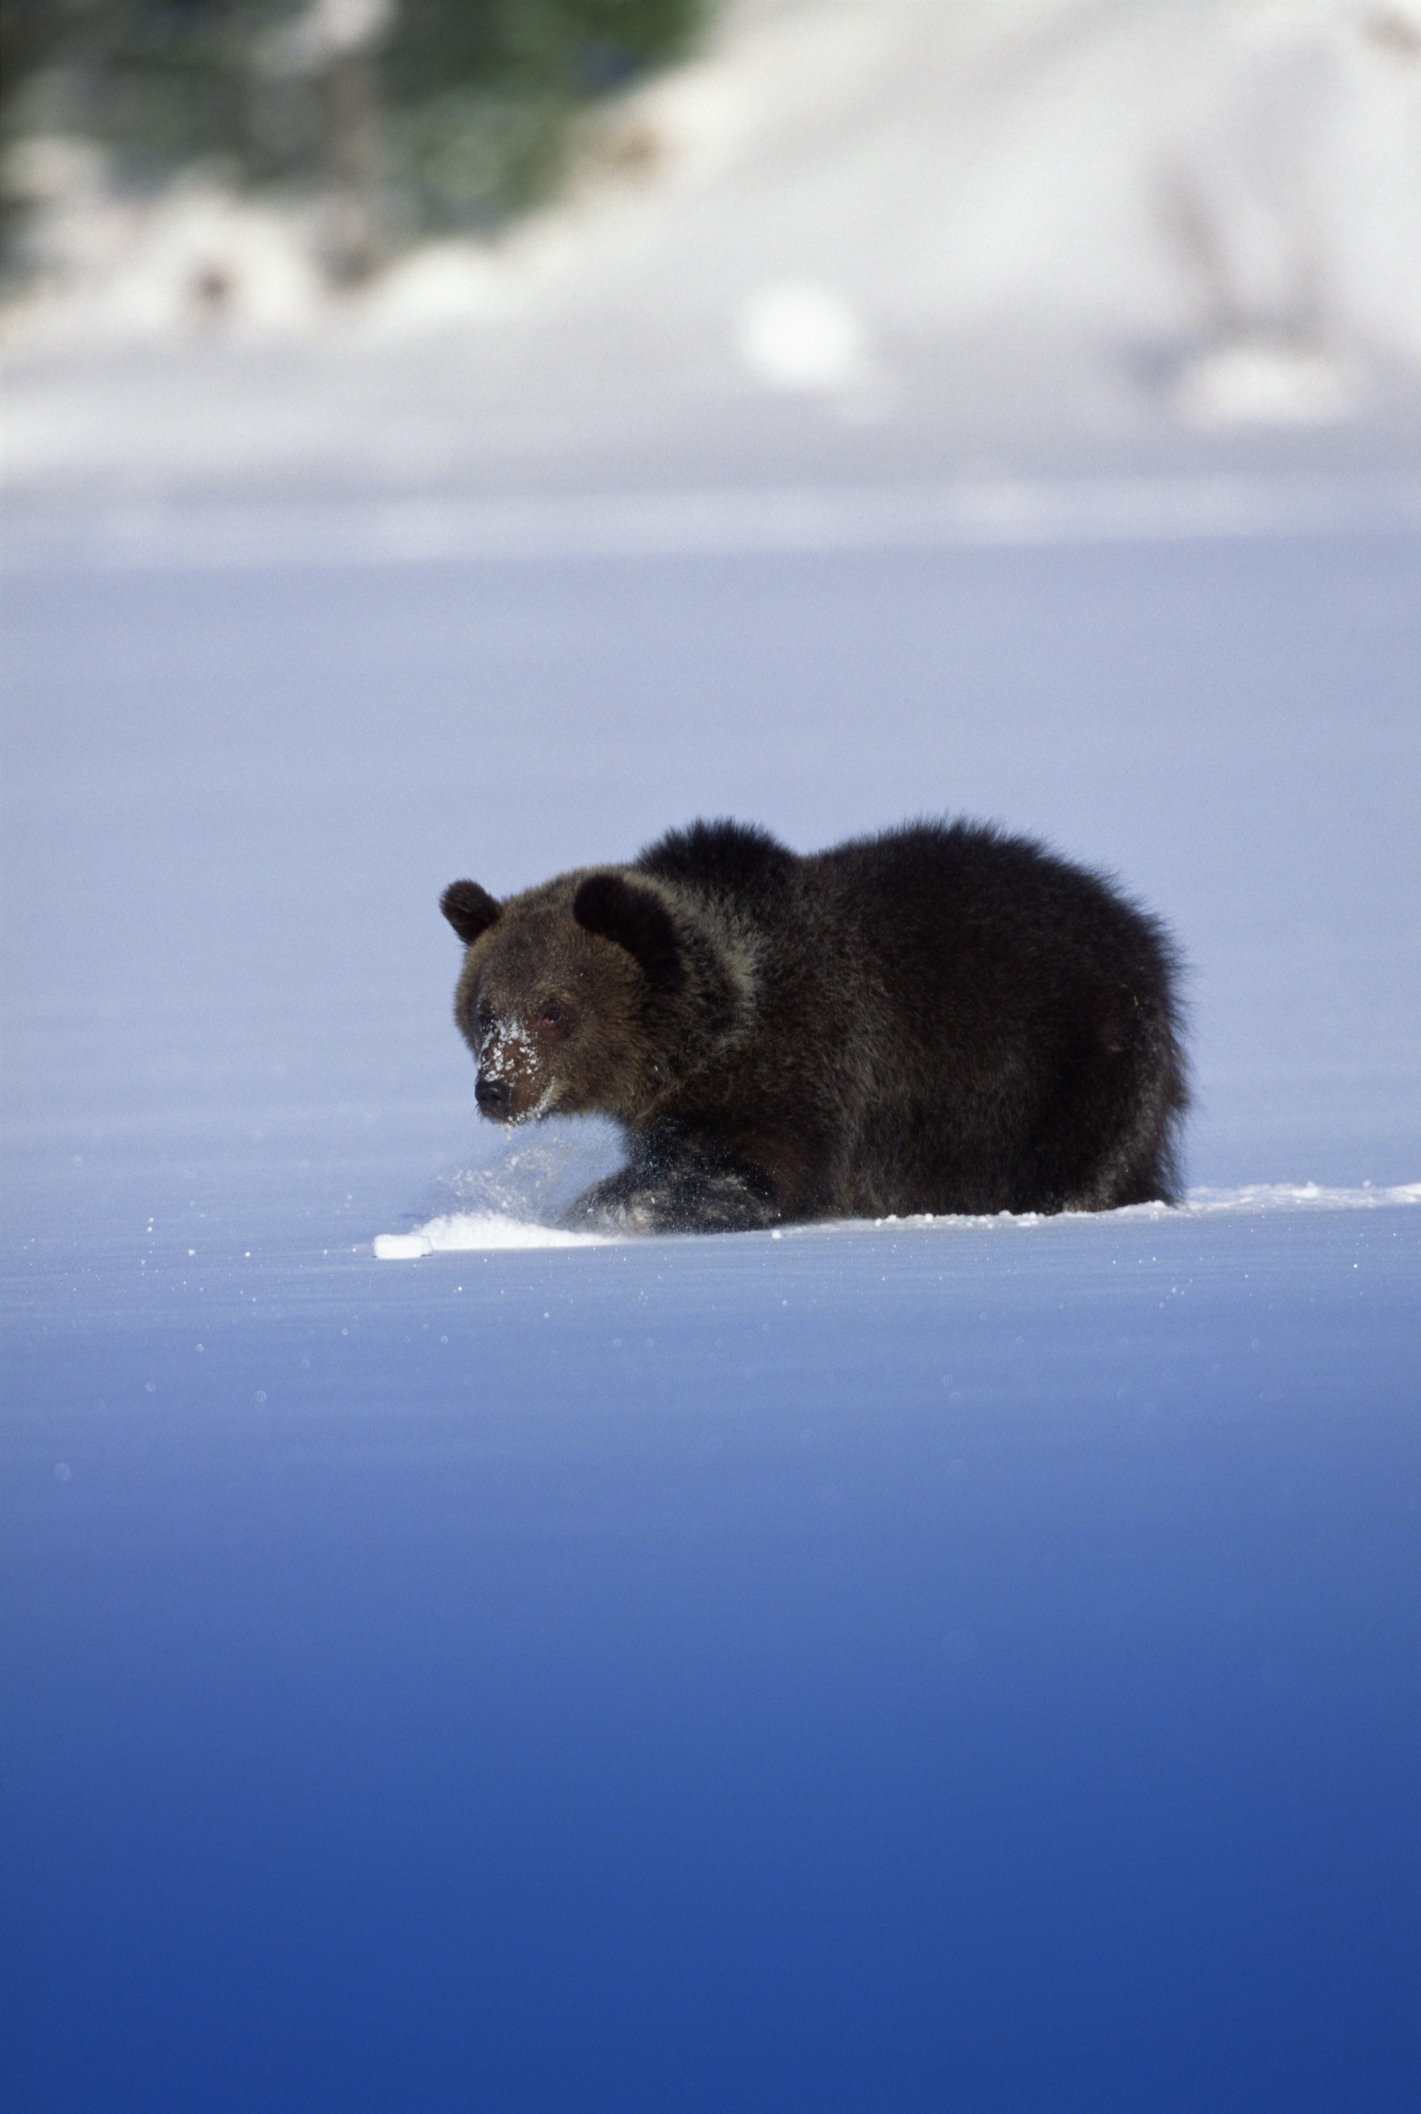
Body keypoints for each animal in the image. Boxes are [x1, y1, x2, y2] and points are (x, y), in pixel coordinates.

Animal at [440, 817, 1188, 1234]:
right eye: (484, 1010)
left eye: (554, 1009)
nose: (495, 1088)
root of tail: (1138, 927)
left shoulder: (810, 1067)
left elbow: (761, 1172)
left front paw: (600, 1209)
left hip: (1077, 1055)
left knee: (1088, 1159)